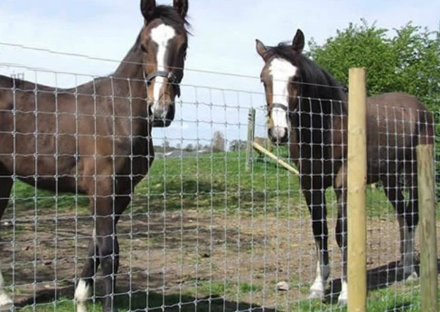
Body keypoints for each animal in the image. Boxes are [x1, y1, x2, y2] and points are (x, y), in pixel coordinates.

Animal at [0, 1, 189, 310]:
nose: (160, 111)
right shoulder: (102, 189)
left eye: (183, 46)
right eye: (144, 45)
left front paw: (80, 298)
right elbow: (110, 254)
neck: (117, 113)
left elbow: (97, 247)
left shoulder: (121, 193)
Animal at [254, 29, 434, 304]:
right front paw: (318, 287)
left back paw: (411, 273)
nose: (278, 133)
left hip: (412, 173)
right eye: (264, 80)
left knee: (412, 215)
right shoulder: (310, 183)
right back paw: (404, 267)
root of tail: (421, 109)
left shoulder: (344, 182)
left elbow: (344, 233)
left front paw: (347, 293)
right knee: (403, 216)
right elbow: (320, 231)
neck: (327, 125)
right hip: (390, 180)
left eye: (296, 77)